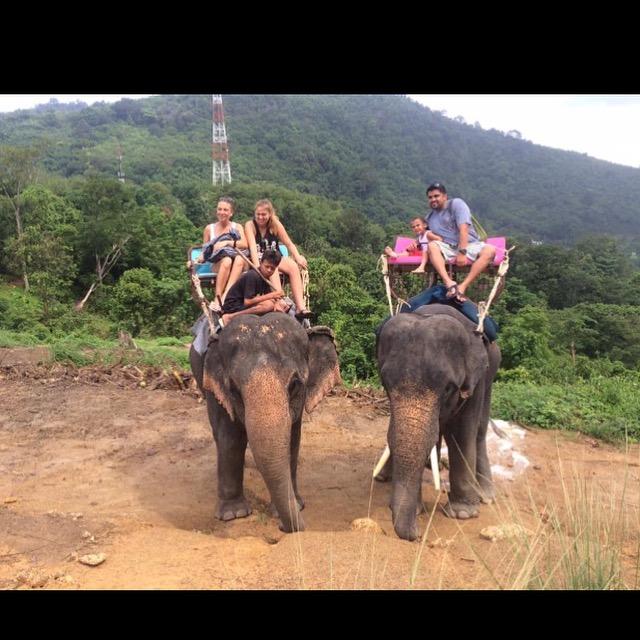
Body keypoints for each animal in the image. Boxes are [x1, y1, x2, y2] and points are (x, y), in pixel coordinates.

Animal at [189, 312, 342, 532]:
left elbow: (292, 441)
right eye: (234, 389)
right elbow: (231, 439)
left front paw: (294, 506)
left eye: (294, 384)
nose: (282, 527)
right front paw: (233, 514)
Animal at [376, 304, 500, 540]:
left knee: (479, 431)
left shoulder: (475, 382)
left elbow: (461, 434)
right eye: (385, 384)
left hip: (491, 373)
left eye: (448, 389)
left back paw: (486, 496)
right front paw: (417, 509)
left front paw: (462, 514)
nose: (418, 535)